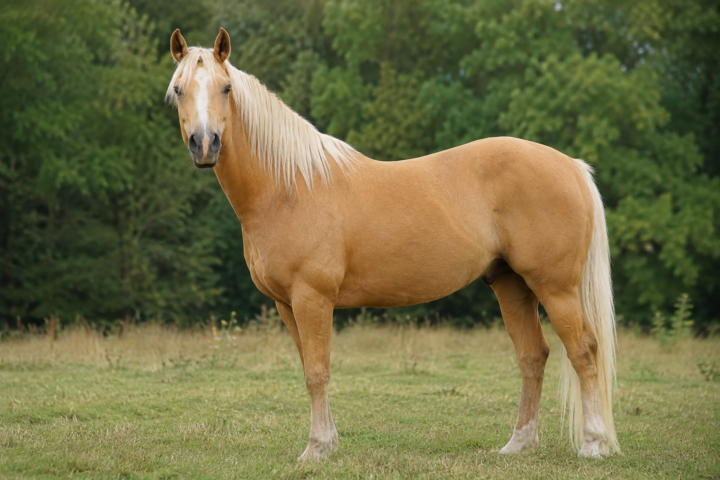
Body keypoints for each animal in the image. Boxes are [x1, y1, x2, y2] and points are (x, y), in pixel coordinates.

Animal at [166, 27, 620, 461]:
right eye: (178, 90)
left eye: (226, 88)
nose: (204, 145)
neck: (290, 187)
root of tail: (571, 166)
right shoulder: (285, 304)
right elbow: (308, 368)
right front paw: (328, 442)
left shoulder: (312, 298)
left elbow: (317, 371)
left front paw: (317, 449)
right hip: (512, 285)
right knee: (532, 356)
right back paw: (518, 444)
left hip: (555, 287)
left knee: (583, 351)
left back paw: (593, 443)